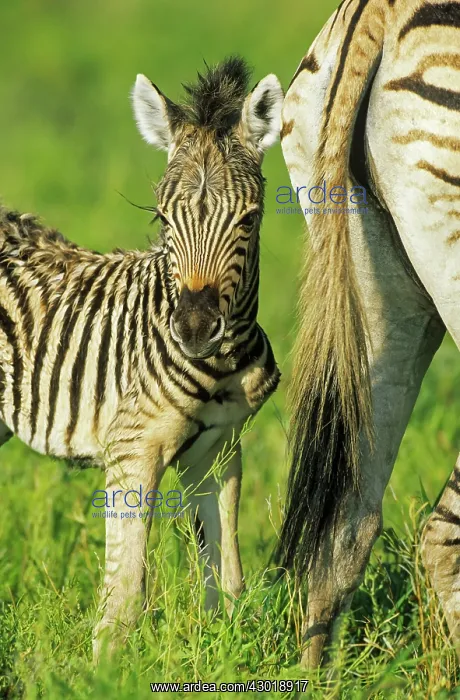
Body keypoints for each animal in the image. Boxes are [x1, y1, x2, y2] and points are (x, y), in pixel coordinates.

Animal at [0, 56, 283, 659]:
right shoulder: (132, 449)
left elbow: (226, 582)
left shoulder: (219, 453)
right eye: (162, 219)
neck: (219, 368)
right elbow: (126, 597)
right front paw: (105, 670)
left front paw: (227, 653)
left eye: (247, 221)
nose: (195, 329)